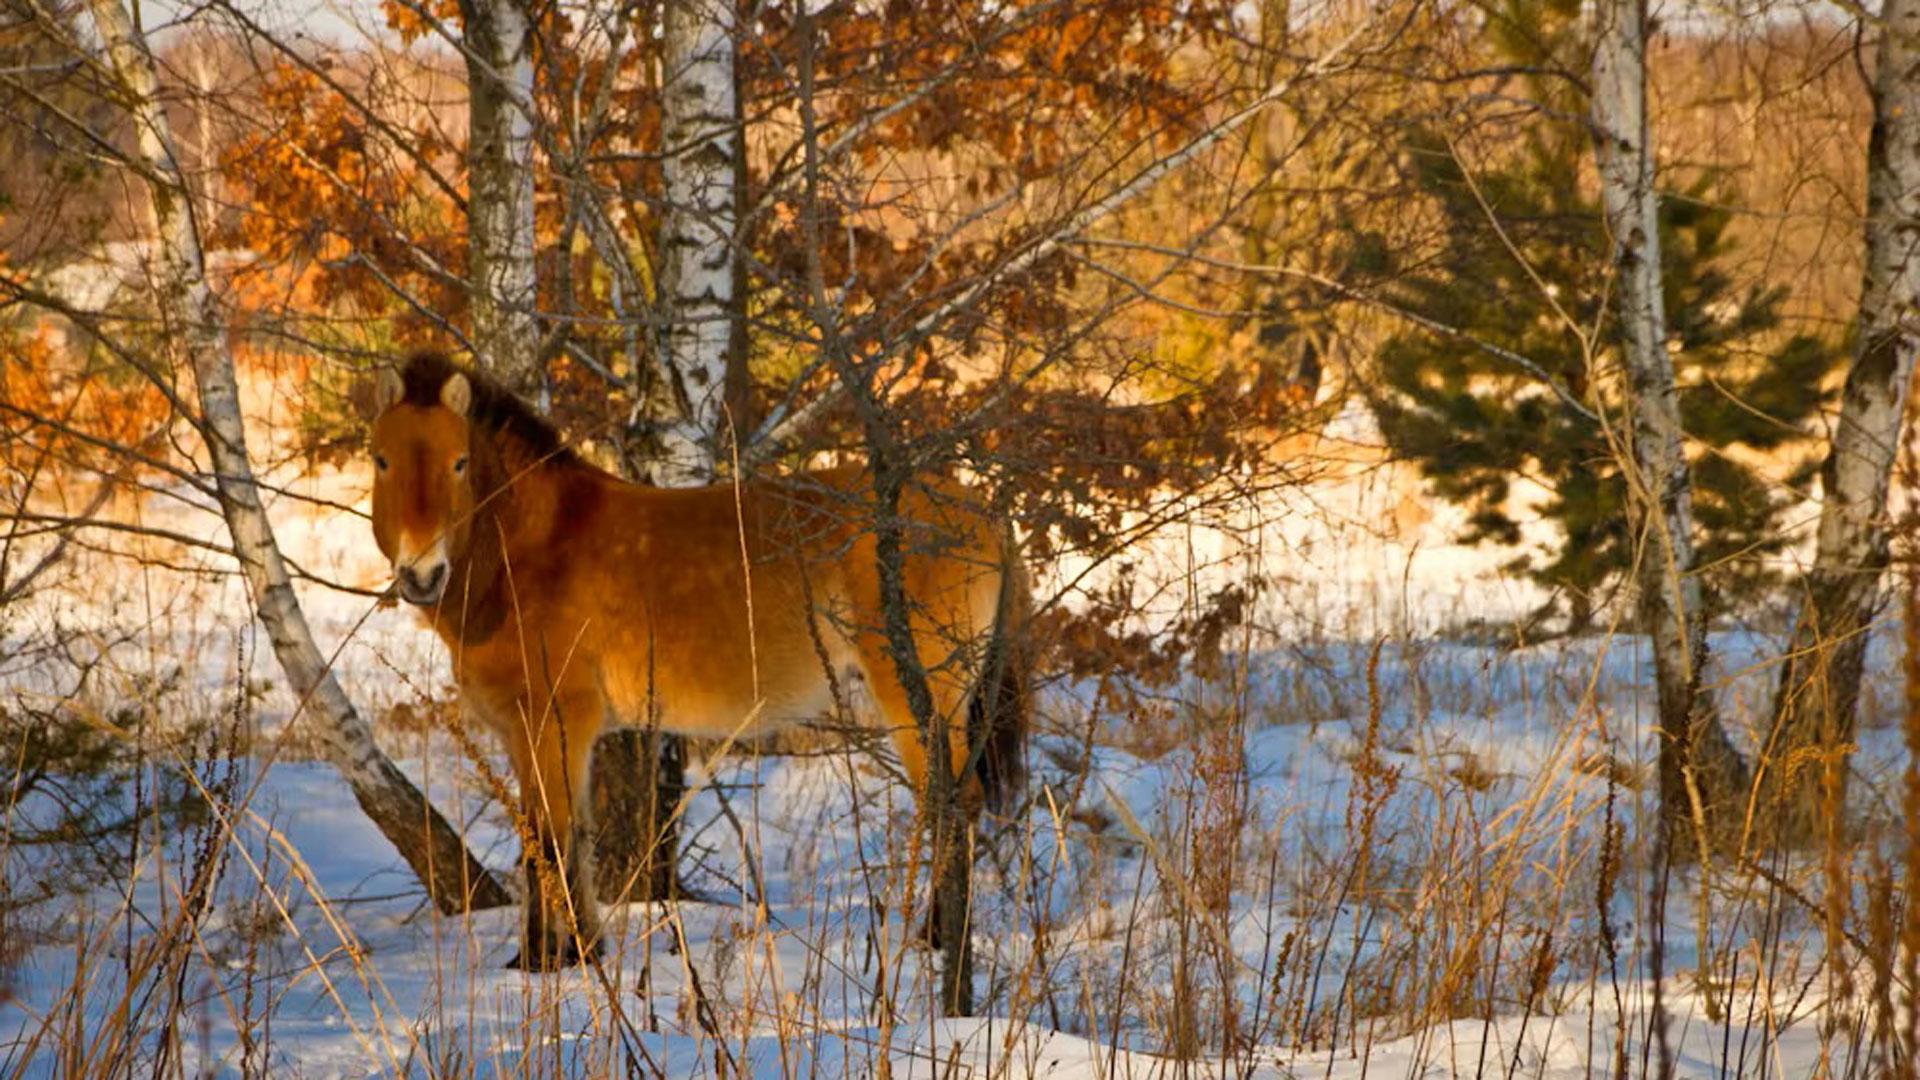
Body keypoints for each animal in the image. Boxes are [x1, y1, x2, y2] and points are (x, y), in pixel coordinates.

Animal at [366, 352, 1030, 969]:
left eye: (458, 463)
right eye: (382, 461)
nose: (421, 575)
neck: (535, 550)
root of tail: (984, 513)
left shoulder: (556, 724)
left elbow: (551, 842)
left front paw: (549, 963)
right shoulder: (524, 733)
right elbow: (555, 837)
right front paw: (573, 953)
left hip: (920, 697)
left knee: (951, 802)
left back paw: (939, 943)